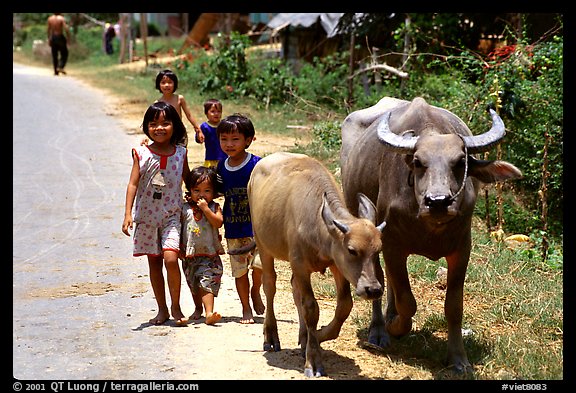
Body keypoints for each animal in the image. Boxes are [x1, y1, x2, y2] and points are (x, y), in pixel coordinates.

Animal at [244, 151, 388, 376]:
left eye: (378, 250)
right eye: (352, 250)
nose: (373, 289)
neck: (317, 224)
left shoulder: (337, 265)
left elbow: (344, 305)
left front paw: (317, 337)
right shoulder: (300, 265)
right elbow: (311, 308)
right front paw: (313, 360)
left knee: (294, 290)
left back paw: (304, 337)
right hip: (263, 244)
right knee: (270, 285)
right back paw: (271, 335)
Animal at [340, 96, 524, 372]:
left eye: (460, 162)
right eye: (418, 162)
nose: (438, 201)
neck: (431, 227)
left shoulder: (462, 249)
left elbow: (454, 306)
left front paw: (459, 359)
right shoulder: (392, 245)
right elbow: (407, 300)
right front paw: (395, 327)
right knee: (379, 279)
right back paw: (379, 330)